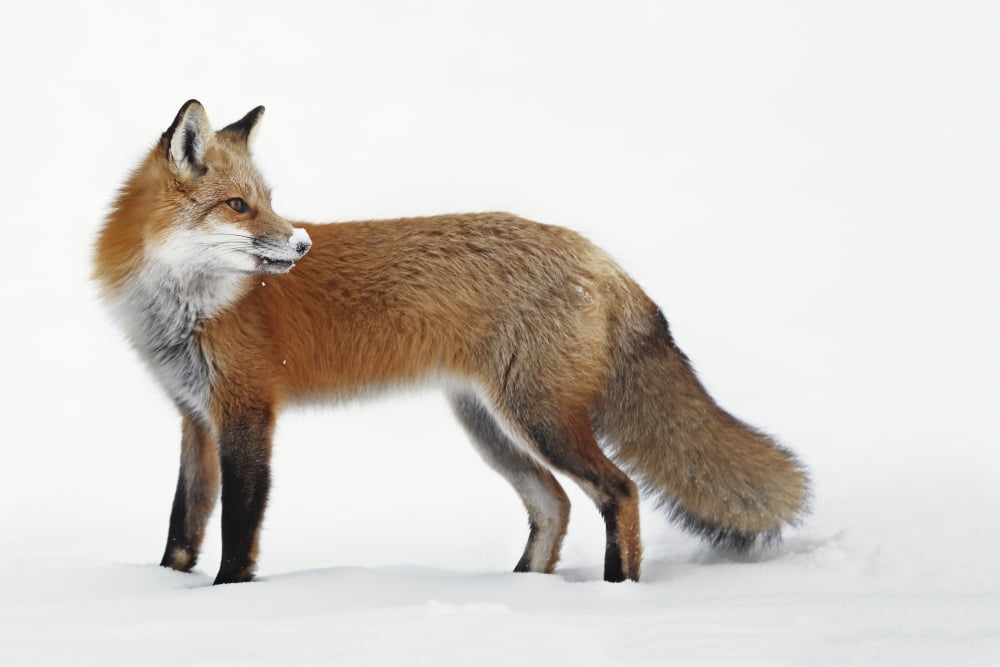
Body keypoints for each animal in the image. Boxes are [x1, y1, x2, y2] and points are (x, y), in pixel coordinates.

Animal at [93, 100, 809, 585]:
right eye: (238, 206)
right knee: (554, 505)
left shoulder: (247, 411)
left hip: (540, 418)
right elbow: (184, 523)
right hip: (489, 425)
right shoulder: (196, 417)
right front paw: (169, 593)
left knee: (620, 490)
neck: (188, 307)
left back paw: (617, 593)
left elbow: (239, 527)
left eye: (267, 201)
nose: (300, 245)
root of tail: (593, 251)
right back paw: (525, 590)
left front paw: (228, 597)